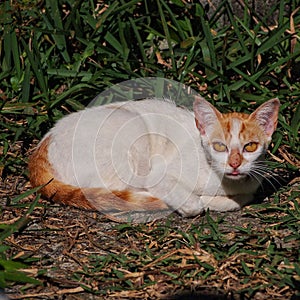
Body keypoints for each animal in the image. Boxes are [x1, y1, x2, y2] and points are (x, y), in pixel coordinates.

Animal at [29, 96, 280, 223]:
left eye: (250, 146)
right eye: (219, 146)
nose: (235, 163)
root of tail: (43, 144)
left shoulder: (252, 183)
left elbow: (242, 197)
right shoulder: (158, 172)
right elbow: (195, 203)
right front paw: (198, 201)